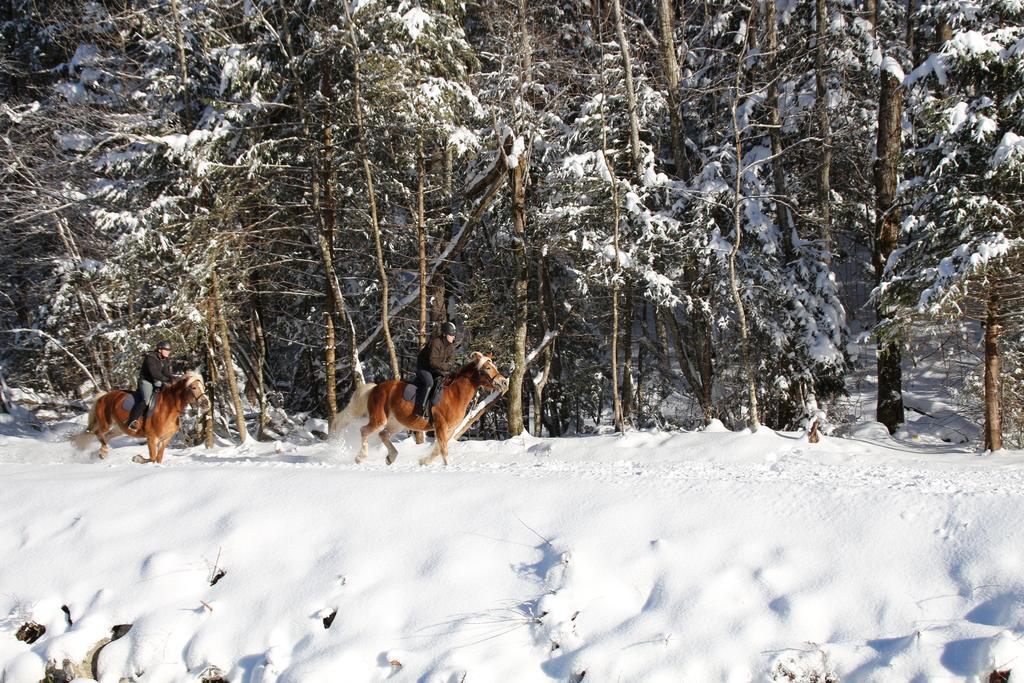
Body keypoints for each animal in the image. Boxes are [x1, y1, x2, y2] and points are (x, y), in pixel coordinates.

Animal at [73, 374, 210, 464]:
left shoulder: (165, 439)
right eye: (193, 387)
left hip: (119, 429)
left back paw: (100, 453)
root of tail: (102, 397)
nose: (206, 403)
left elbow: (158, 458)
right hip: (105, 423)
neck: (168, 409)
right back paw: (103, 452)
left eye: (203, 386)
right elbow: (152, 458)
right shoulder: (152, 438)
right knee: (98, 433)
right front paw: (137, 458)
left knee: (107, 436)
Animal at [335, 352, 507, 464]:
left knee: (383, 434)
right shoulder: (440, 426)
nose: (504, 382)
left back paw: (392, 456)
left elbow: (438, 449)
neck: (455, 394)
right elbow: (444, 450)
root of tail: (376, 388)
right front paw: (446, 468)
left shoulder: (450, 429)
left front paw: (424, 462)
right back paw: (360, 457)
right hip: (380, 419)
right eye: (488, 368)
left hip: (397, 423)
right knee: (364, 431)